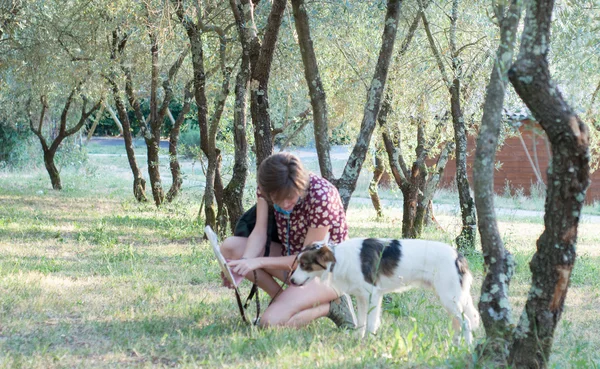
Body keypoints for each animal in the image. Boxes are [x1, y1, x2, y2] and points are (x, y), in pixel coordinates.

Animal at [288, 237, 480, 344]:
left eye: (304, 265)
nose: (291, 280)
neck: (339, 258)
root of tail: (458, 255)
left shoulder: (373, 295)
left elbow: (371, 323)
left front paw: (369, 342)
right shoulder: (362, 297)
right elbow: (361, 322)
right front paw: (358, 339)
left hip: (449, 298)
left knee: (466, 322)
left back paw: (467, 346)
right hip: (448, 299)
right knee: (458, 323)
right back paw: (455, 344)